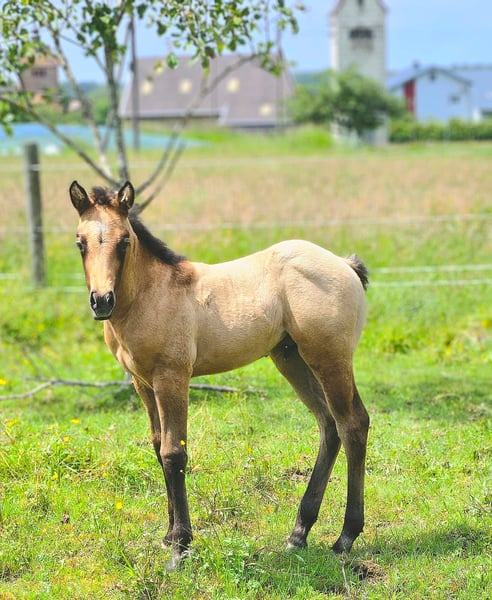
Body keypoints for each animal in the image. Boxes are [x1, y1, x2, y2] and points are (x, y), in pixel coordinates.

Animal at [69, 180, 370, 569]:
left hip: (329, 358)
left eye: (124, 242)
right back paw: (298, 533)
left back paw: (345, 537)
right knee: (329, 425)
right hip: (292, 359)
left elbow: (173, 453)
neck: (151, 295)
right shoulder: (142, 383)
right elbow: (157, 447)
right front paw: (169, 537)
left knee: (352, 424)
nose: (102, 301)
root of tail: (344, 264)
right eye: (80, 243)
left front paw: (181, 548)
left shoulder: (172, 377)